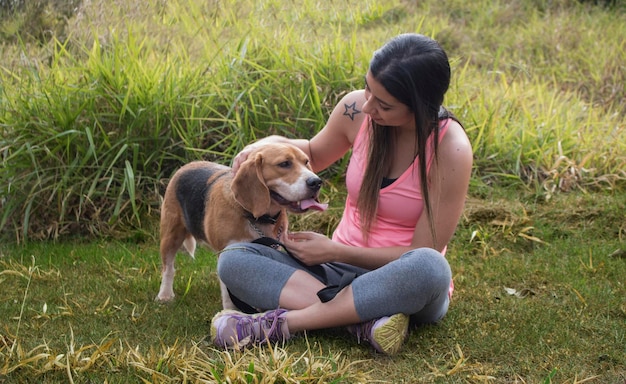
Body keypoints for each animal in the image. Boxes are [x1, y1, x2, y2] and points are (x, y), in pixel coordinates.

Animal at [156, 143, 326, 308]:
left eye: (306, 162)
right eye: (284, 164)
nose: (316, 182)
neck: (257, 218)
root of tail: (187, 166)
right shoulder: (228, 251)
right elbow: (229, 295)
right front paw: (232, 312)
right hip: (171, 235)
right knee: (168, 268)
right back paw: (165, 295)